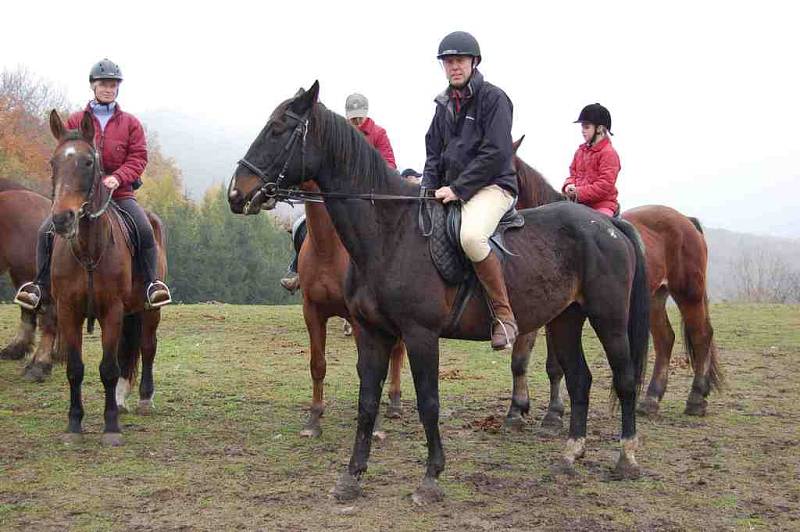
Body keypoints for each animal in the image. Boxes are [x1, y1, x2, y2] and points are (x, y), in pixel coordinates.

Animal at [47, 109, 167, 444]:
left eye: (89, 162)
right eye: (53, 162)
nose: (62, 219)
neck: (89, 250)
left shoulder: (112, 310)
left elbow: (109, 369)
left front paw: (111, 427)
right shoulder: (68, 311)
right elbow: (75, 368)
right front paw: (74, 426)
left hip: (149, 310)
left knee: (147, 346)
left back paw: (143, 399)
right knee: (130, 351)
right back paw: (122, 398)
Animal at [228, 82, 652, 502]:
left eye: (278, 129)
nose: (235, 193)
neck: (391, 231)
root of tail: (607, 225)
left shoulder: (420, 335)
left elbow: (428, 403)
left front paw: (430, 478)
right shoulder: (372, 332)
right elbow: (367, 402)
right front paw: (352, 477)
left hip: (609, 319)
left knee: (625, 379)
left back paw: (626, 458)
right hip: (565, 319)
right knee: (580, 379)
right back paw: (569, 455)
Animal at [512, 141, 724, 424]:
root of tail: (685, 220)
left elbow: (553, 365)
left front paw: (553, 413)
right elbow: (521, 359)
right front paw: (517, 408)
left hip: (689, 293)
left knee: (701, 336)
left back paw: (696, 398)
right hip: (654, 298)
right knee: (665, 339)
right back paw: (651, 399)